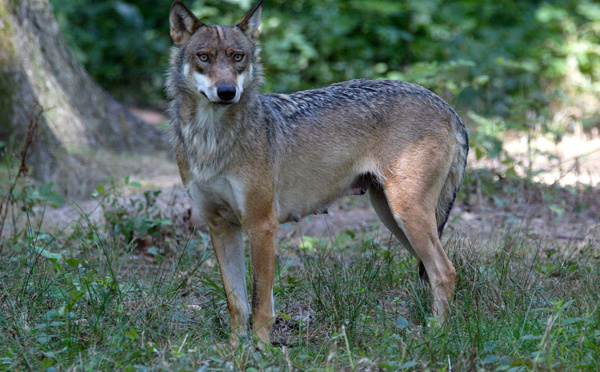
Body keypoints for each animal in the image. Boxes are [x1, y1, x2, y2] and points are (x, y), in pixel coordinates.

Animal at [168, 0, 468, 348]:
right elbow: (237, 302)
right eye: (204, 57)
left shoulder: (262, 226)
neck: (211, 139)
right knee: (435, 273)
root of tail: (448, 107)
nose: (227, 91)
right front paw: (233, 351)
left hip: (407, 216)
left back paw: (436, 335)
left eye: (237, 57)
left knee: (445, 271)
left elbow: (260, 304)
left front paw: (260, 350)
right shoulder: (220, 227)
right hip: (395, 219)